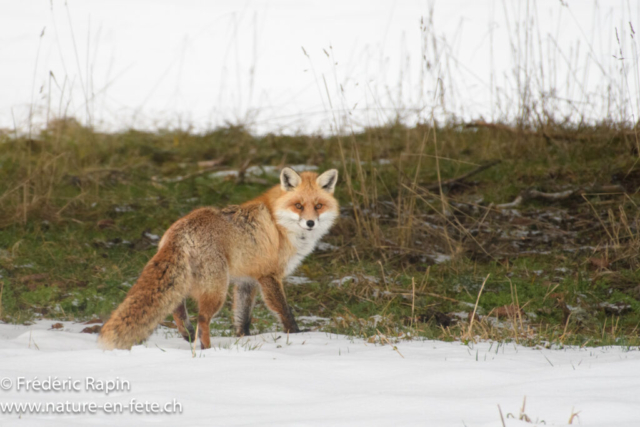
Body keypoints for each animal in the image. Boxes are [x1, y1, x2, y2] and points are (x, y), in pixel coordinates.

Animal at [98, 167, 339, 350]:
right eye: (298, 205)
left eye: (318, 206)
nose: (310, 223)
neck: (278, 224)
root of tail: (180, 230)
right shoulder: (269, 276)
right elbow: (284, 311)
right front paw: (296, 334)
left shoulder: (247, 280)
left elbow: (243, 317)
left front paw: (244, 339)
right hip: (217, 289)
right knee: (202, 318)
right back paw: (206, 348)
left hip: (189, 281)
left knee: (177, 308)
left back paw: (188, 335)